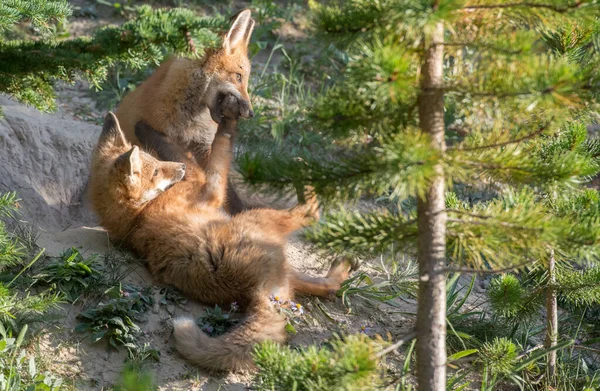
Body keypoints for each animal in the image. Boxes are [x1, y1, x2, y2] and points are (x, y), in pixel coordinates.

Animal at [86, 96, 354, 372]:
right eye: (156, 172)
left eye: (156, 164)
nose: (180, 168)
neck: (137, 216)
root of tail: (252, 290)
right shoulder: (210, 189)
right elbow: (218, 149)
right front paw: (227, 122)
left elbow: (188, 153)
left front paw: (147, 130)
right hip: (261, 220)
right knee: (310, 214)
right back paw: (305, 180)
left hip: (285, 276)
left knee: (330, 288)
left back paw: (342, 266)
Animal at [116, 9, 256, 216]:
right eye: (238, 77)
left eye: (244, 79)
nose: (251, 113)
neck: (189, 121)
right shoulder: (156, 131)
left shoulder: (203, 145)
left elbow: (225, 186)